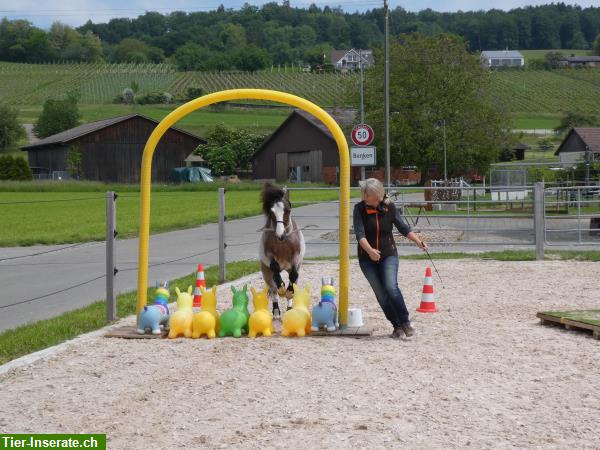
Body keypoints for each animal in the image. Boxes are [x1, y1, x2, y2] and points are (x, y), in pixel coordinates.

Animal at [258, 183, 304, 320]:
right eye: (272, 212)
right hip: (265, 272)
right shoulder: (269, 256)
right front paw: (282, 288)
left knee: (293, 282)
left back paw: (289, 308)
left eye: (288, 210)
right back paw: (276, 312)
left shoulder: (296, 259)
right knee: (273, 289)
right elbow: (275, 270)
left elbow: (293, 276)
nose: (280, 235)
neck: (284, 243)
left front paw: (288, 293)